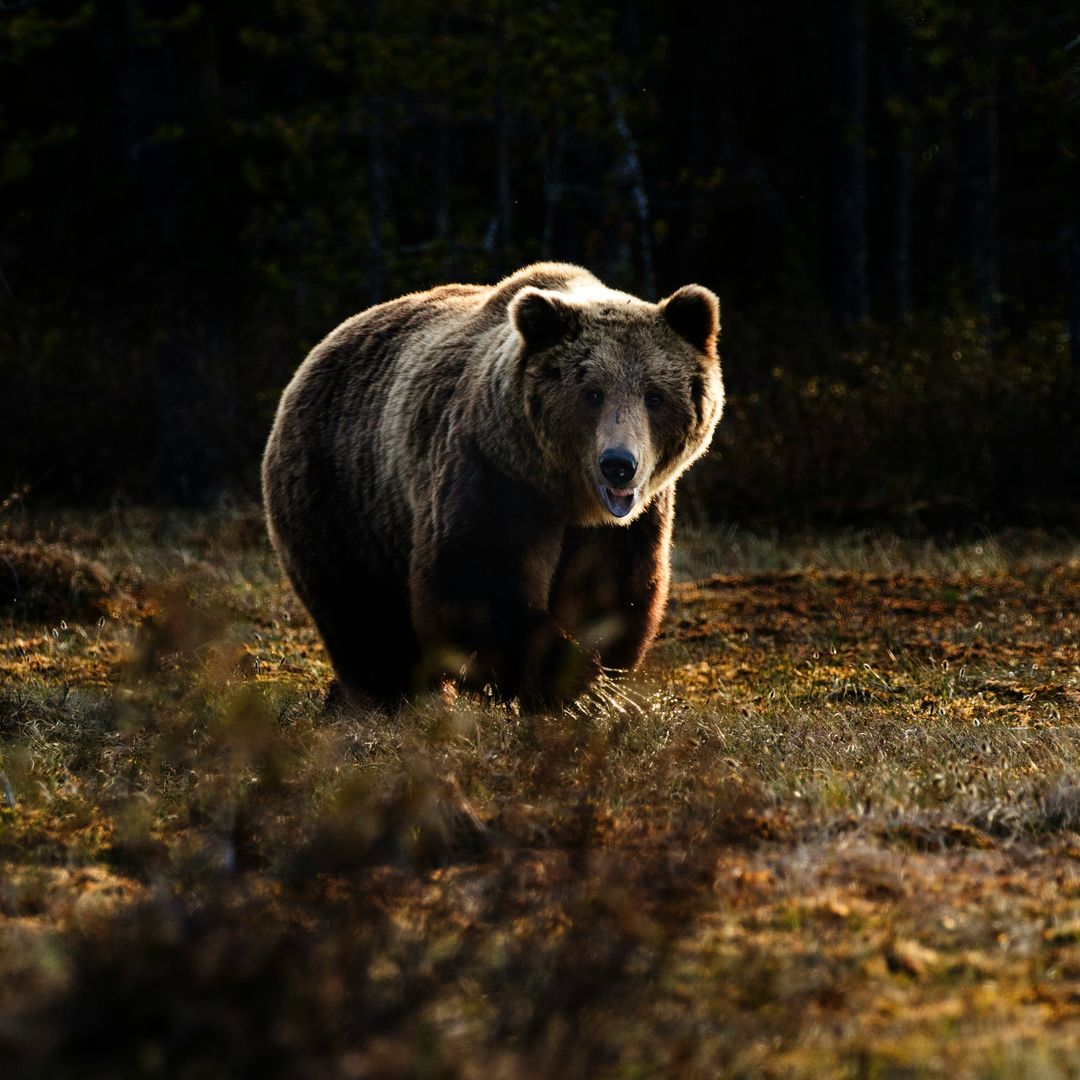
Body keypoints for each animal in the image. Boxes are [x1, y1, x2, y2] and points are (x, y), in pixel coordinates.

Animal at [259, 263, 725, 708]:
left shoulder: (629, 522)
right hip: (341, 493)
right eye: (592, 393)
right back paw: (390, 696)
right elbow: (477, 583)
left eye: (654, 396)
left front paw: (593, 681)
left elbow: (611, 592)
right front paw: (565, 683)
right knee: (362, 611)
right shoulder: (492, 473)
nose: (618, 465)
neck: (565, 493)